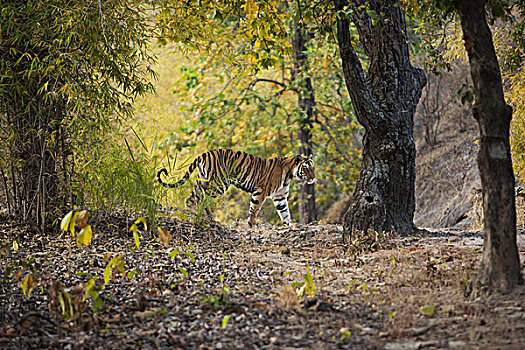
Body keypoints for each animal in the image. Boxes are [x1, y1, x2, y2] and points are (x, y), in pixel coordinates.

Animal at [156, 148, 316, 227]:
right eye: (306, 168)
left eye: (312, 168)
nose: (313, 178)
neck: (289, 175)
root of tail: (204, 154)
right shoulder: (261, 191)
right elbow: (254, 208)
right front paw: (252, 223)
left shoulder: (280, 197)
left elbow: (285, 212)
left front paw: (289, 225)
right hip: (218, 184)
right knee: (203, 199)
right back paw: (208, 217)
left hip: (203, 181)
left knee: (192, 198)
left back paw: (196, 214)